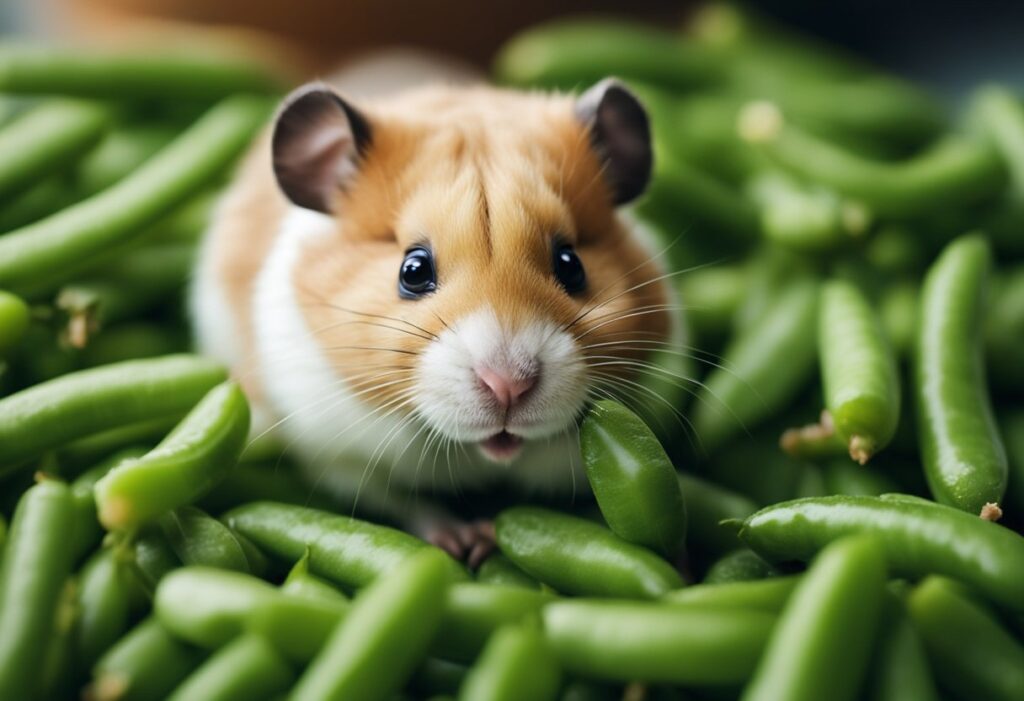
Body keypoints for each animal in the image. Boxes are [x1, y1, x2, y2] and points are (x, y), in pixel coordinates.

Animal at [191, 53, 683, 562]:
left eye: (572, 265)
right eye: (412, 270)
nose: (508, 386)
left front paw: (485, 541)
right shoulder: (339, 456)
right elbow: (407, 502)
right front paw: (464, 543)